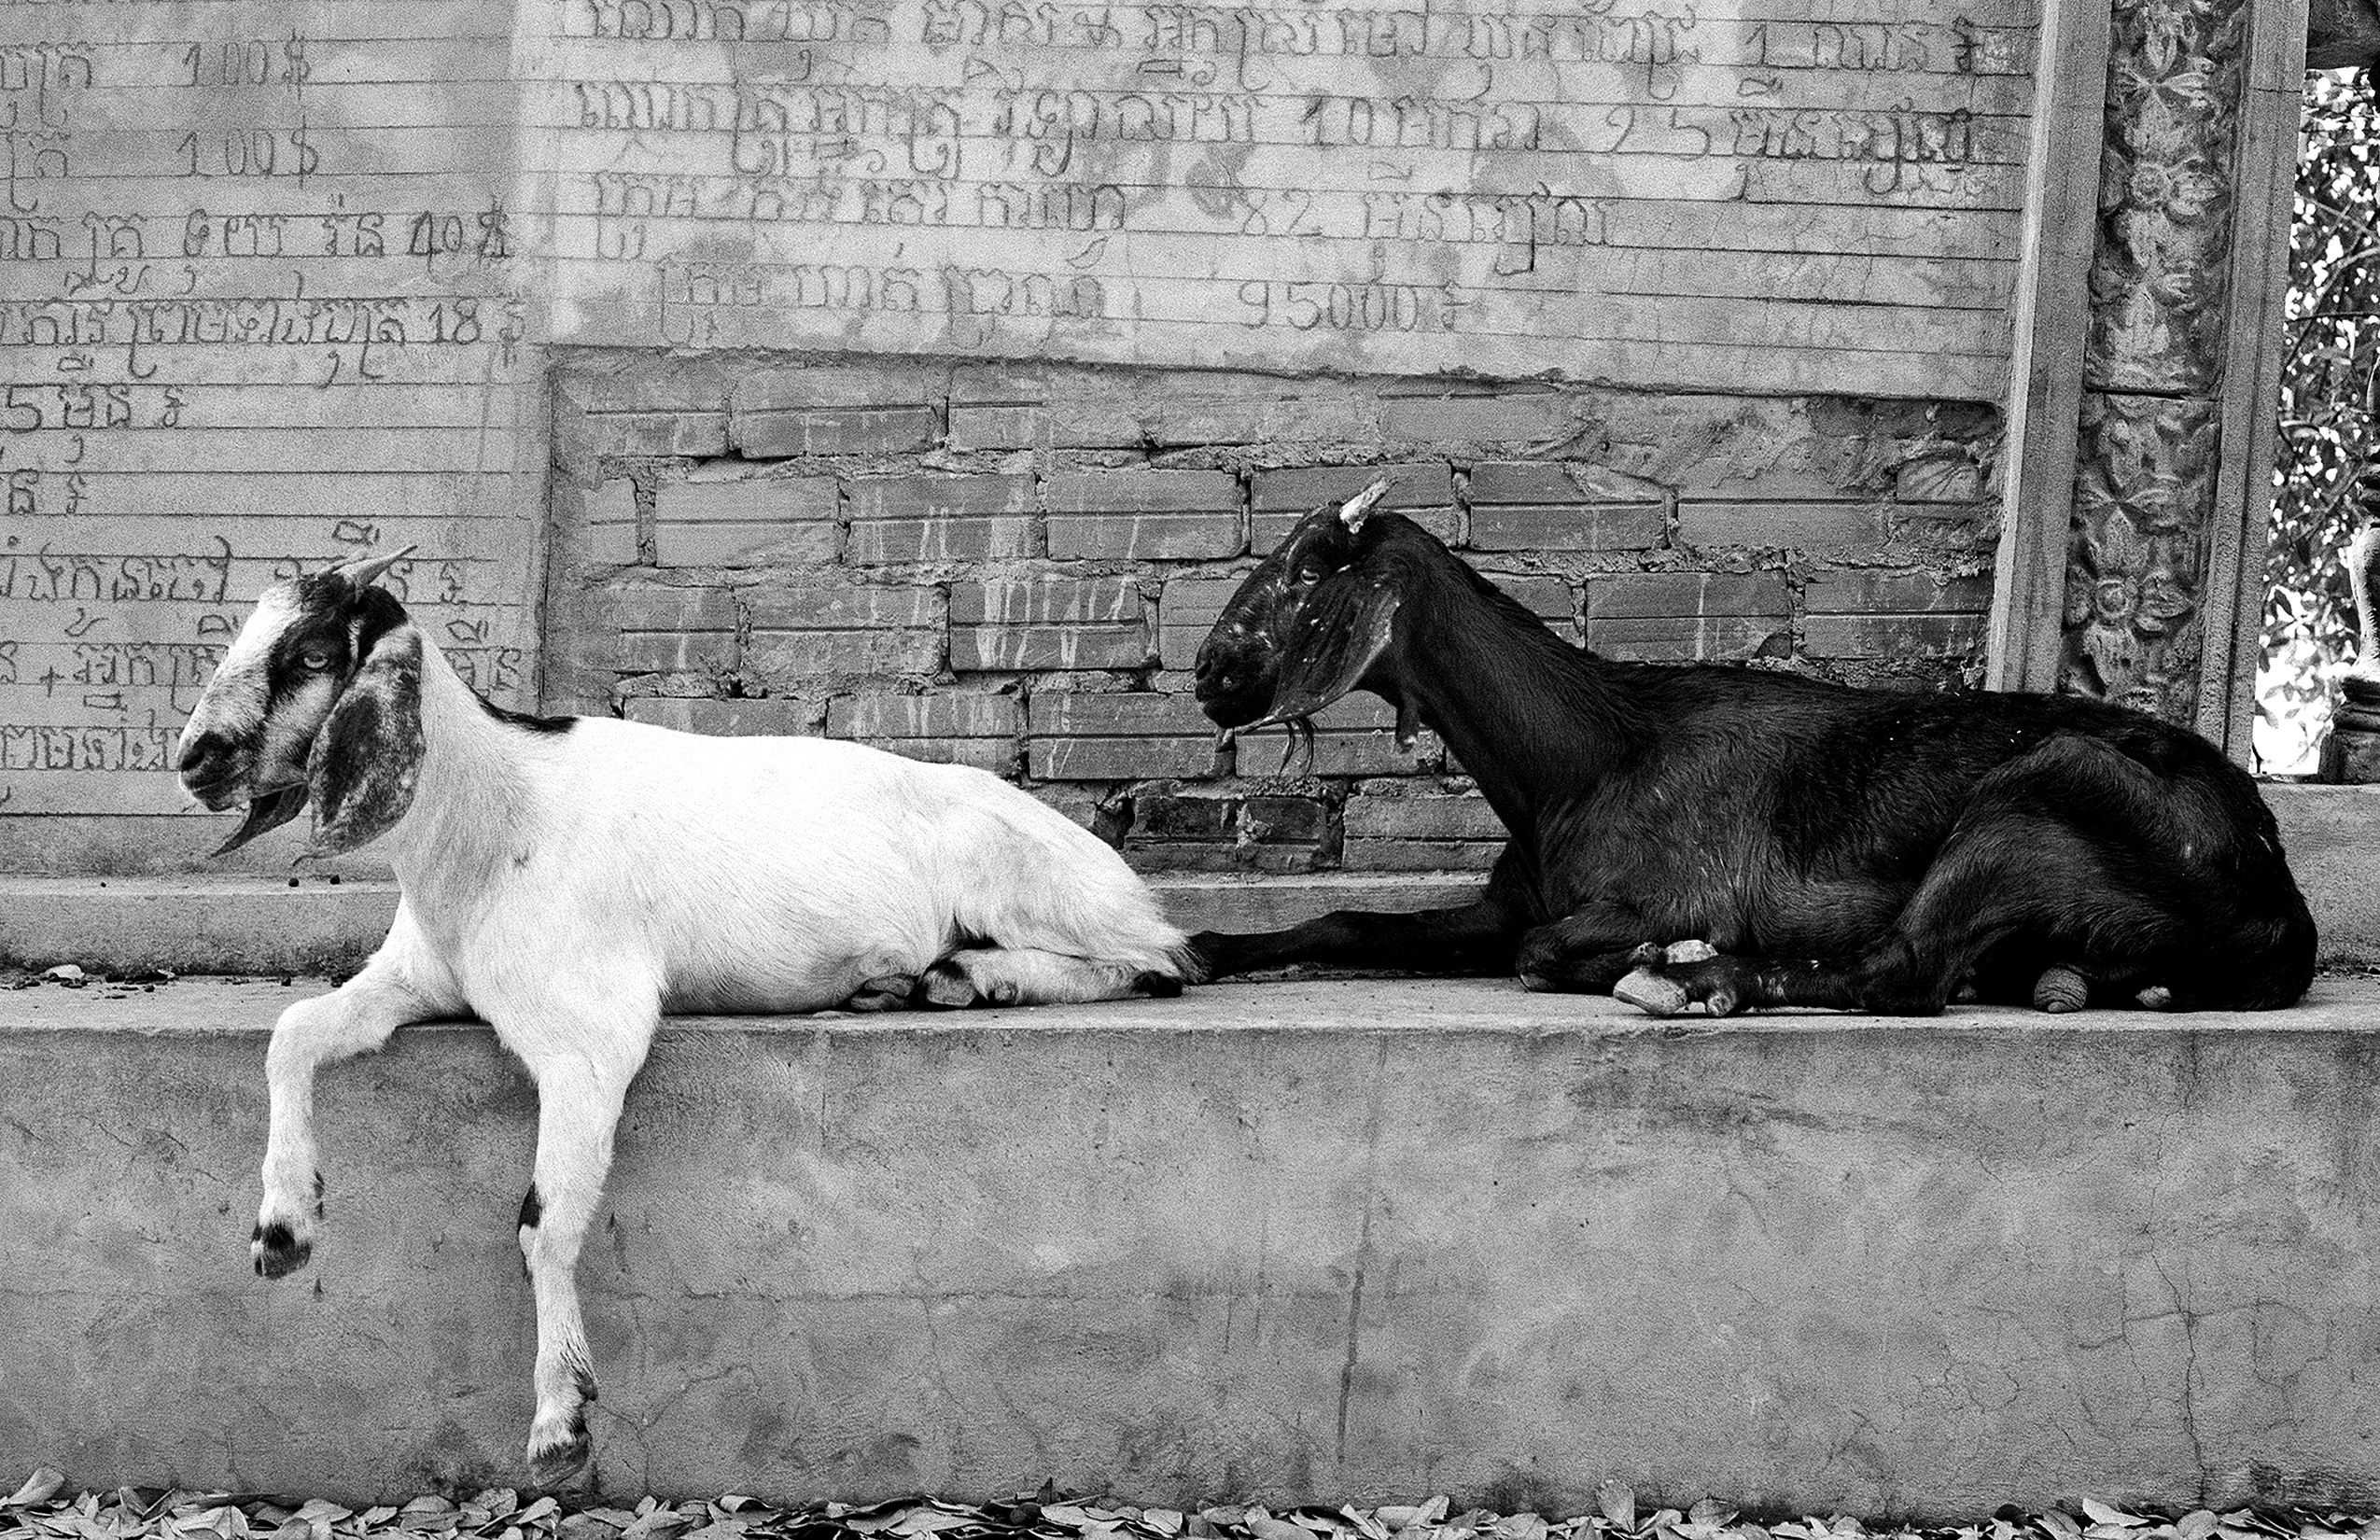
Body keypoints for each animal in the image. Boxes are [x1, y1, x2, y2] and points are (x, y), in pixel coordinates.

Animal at [173, 551, 1191, 1482]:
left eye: (311, 653)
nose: (193, 759)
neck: (492, 816)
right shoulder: (416, 981)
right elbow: (291, 1034)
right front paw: (283, 1230)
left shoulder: (591, 1040)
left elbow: (543, 1221)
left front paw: (559, 1421)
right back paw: (899, 983)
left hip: (1036, 885)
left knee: (1162, 963)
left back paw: (974, 976)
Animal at [1189, 484, 2317, 1016]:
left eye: (1308, 568)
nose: (1208, 669)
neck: (1581, 760)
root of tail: (2276, 891)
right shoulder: (1508, 899)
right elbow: (1351, 920)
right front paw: (1202, 947)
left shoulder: (1660, 893)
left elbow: (1541, 953)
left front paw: (1662, 955)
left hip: (2042, 793)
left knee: (1900, 968)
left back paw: (1693, 981)